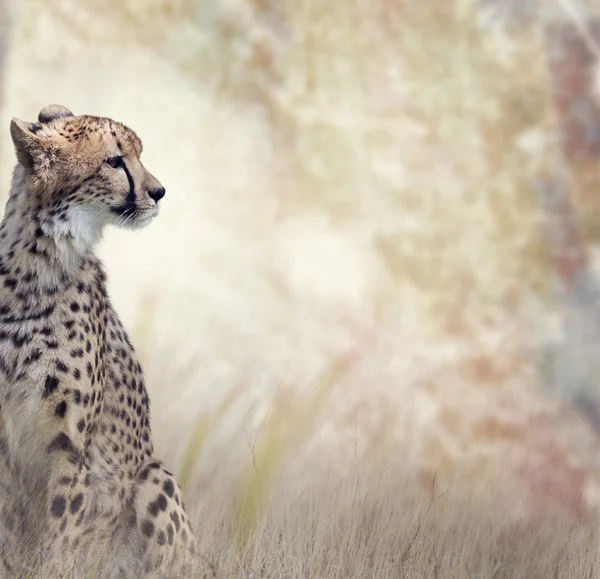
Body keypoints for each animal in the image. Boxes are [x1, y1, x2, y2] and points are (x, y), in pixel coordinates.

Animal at [0, 106, 197, 576]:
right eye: (114, 161)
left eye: (138, 155)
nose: (159, 192)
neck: (33, 268)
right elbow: (9, 523)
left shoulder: (72, 448)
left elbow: (60, 528)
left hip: (154, 477)